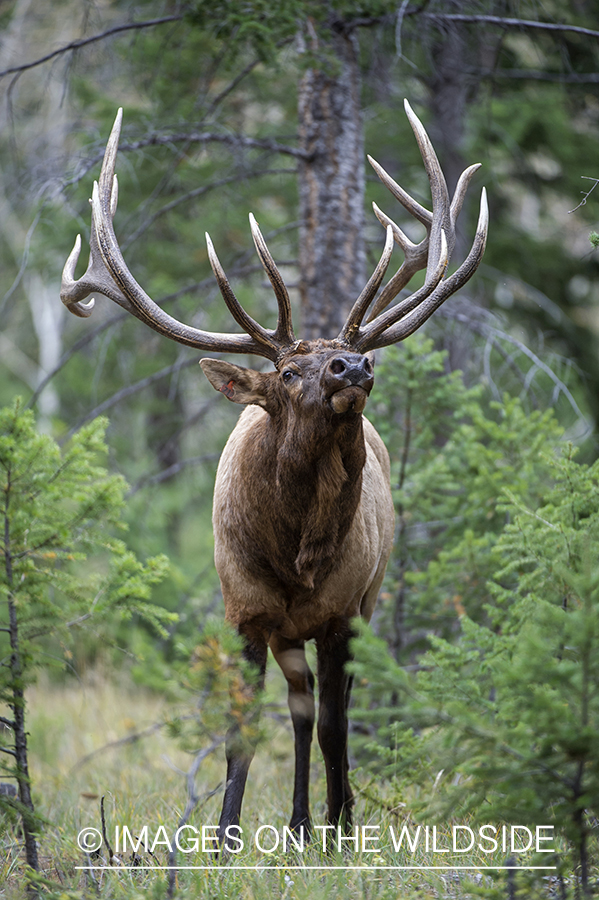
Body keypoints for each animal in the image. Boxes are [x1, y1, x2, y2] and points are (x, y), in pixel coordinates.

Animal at [61, 100, 488, 844]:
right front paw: (225, 837)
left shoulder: (344, 612)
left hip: (366, 601)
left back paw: (316, 821)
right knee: (297, 707)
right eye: (288, 371)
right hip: (289, 632)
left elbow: (338, 729)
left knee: (322, 711)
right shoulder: (245, 611)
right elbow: (242, 731)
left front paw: (343, 829)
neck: (296, 557)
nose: (353, 364)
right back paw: (294, 823)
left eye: (345, 355)